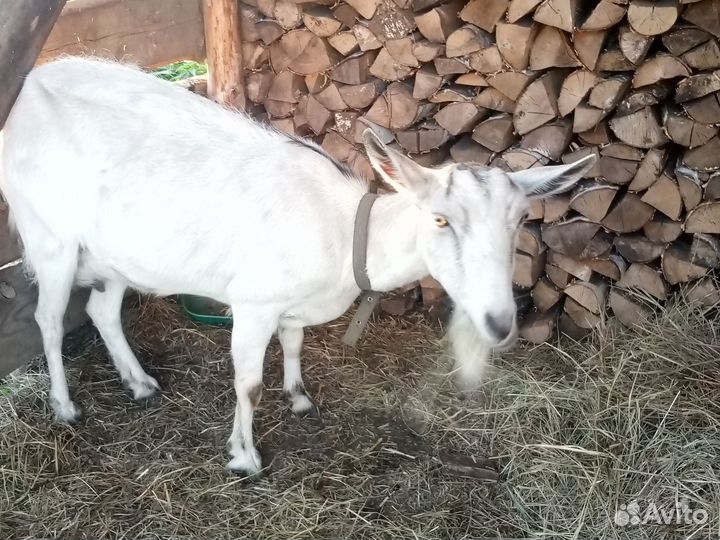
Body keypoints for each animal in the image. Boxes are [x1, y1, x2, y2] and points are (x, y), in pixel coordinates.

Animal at [0, 58, 596, 476]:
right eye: (440, 219)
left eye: (521, 219)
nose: (499, 323)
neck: (344, 232)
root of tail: (27, 90)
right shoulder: (253, 302)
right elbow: (247, 384)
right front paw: (244, 458)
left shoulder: (289, 305)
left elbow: (294, 343)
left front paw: (300, 397)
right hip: (50, 237)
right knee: (49, 319)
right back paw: (65, 407)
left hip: (115, 254)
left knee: (102, 309)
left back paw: (141, 382)